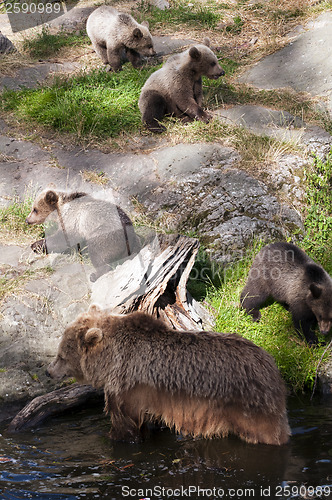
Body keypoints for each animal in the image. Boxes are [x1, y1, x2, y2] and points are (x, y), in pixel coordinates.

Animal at [46, 304, 290, 446]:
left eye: (61, 355)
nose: (49, 371)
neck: (110, 360)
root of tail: (270, 363)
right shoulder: (151, 396)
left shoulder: (127, 386)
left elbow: (124, 422)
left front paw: (115, 436)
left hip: (249, 402)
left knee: (266, 432)